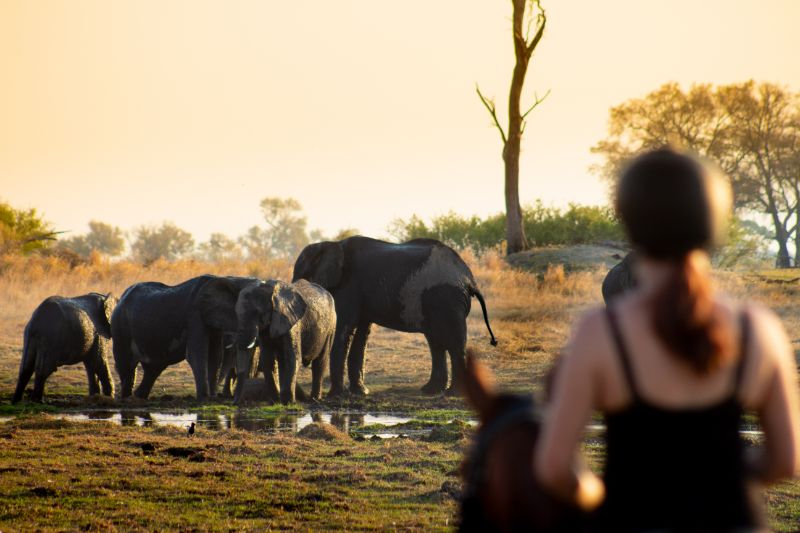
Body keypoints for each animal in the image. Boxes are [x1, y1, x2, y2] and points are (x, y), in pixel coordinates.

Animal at [109, 274, 258, 400]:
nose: (218, 394)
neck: (229, 279)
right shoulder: (195, 315)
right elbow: (196, 354)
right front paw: (204, 399)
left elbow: (214, 356)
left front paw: (212, 398)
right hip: (120, 326)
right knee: (126, 365)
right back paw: (126, 399)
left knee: (153, 369)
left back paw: (138, 397)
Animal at [290, 236, 496, 394]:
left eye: (302, 276)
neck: (331, 244)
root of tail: (468, 278)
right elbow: (361, 335)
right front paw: (361, 393)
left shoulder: (348, 286)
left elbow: (344, 330)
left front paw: (338, 395)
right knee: (436, 342)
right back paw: (430, 390)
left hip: (447, 297)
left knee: (453, 342)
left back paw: (452, 393)